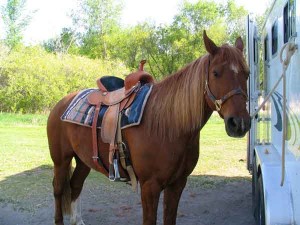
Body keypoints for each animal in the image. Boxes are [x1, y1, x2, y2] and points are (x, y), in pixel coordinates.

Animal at [47, 31, 251, 225]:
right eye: (216, 73)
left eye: (247, 73)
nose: (239, 123)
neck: (169, 125)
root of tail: (60, 104)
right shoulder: (150, 186)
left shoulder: (177, 184)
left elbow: (170, 219)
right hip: (61, 160)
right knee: (58, 189)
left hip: (84, 160)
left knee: (75, 185)